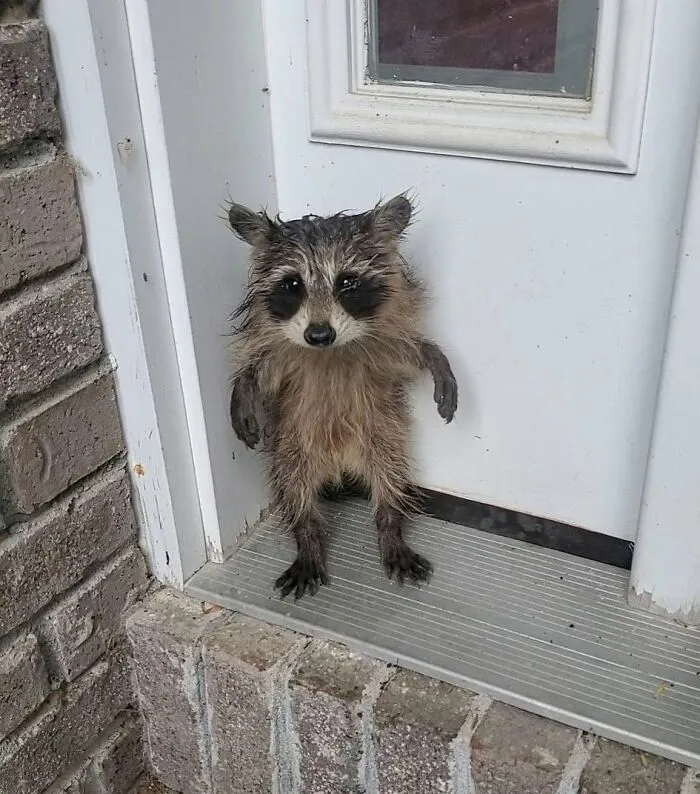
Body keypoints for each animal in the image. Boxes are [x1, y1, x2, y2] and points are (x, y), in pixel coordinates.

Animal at [228, 195, 457, 599]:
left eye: (347, 282)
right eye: (293, 284)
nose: (319, 335)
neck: (330, 352)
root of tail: (340, 467)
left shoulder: (381, 348)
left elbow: (410, 352)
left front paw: (435, 357)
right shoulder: (284, 355)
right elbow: (260, 370)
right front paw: (242, 388)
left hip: (381, 433)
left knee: (390, 476)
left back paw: (389, 524)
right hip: (292, 444)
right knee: (294, 486)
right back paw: (307, 536)